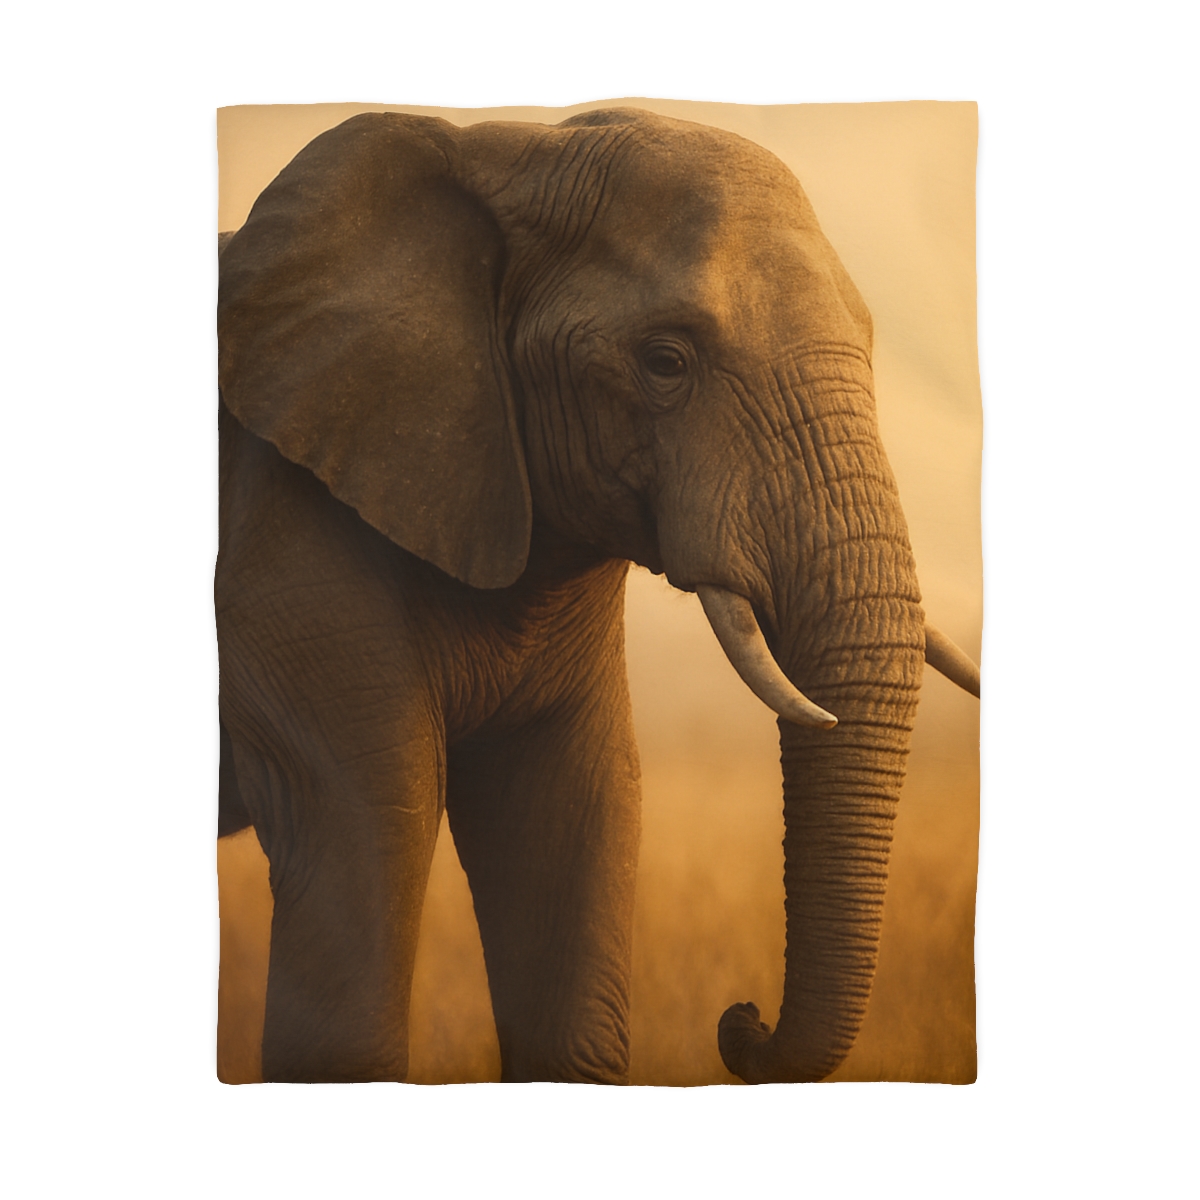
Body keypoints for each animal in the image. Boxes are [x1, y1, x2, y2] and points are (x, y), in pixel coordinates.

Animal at [216, 107, 980, 1085]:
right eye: (665, 361)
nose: (739, 1016)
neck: (503, 150)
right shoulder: (281, 535)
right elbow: (362, 831)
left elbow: (574, 820)